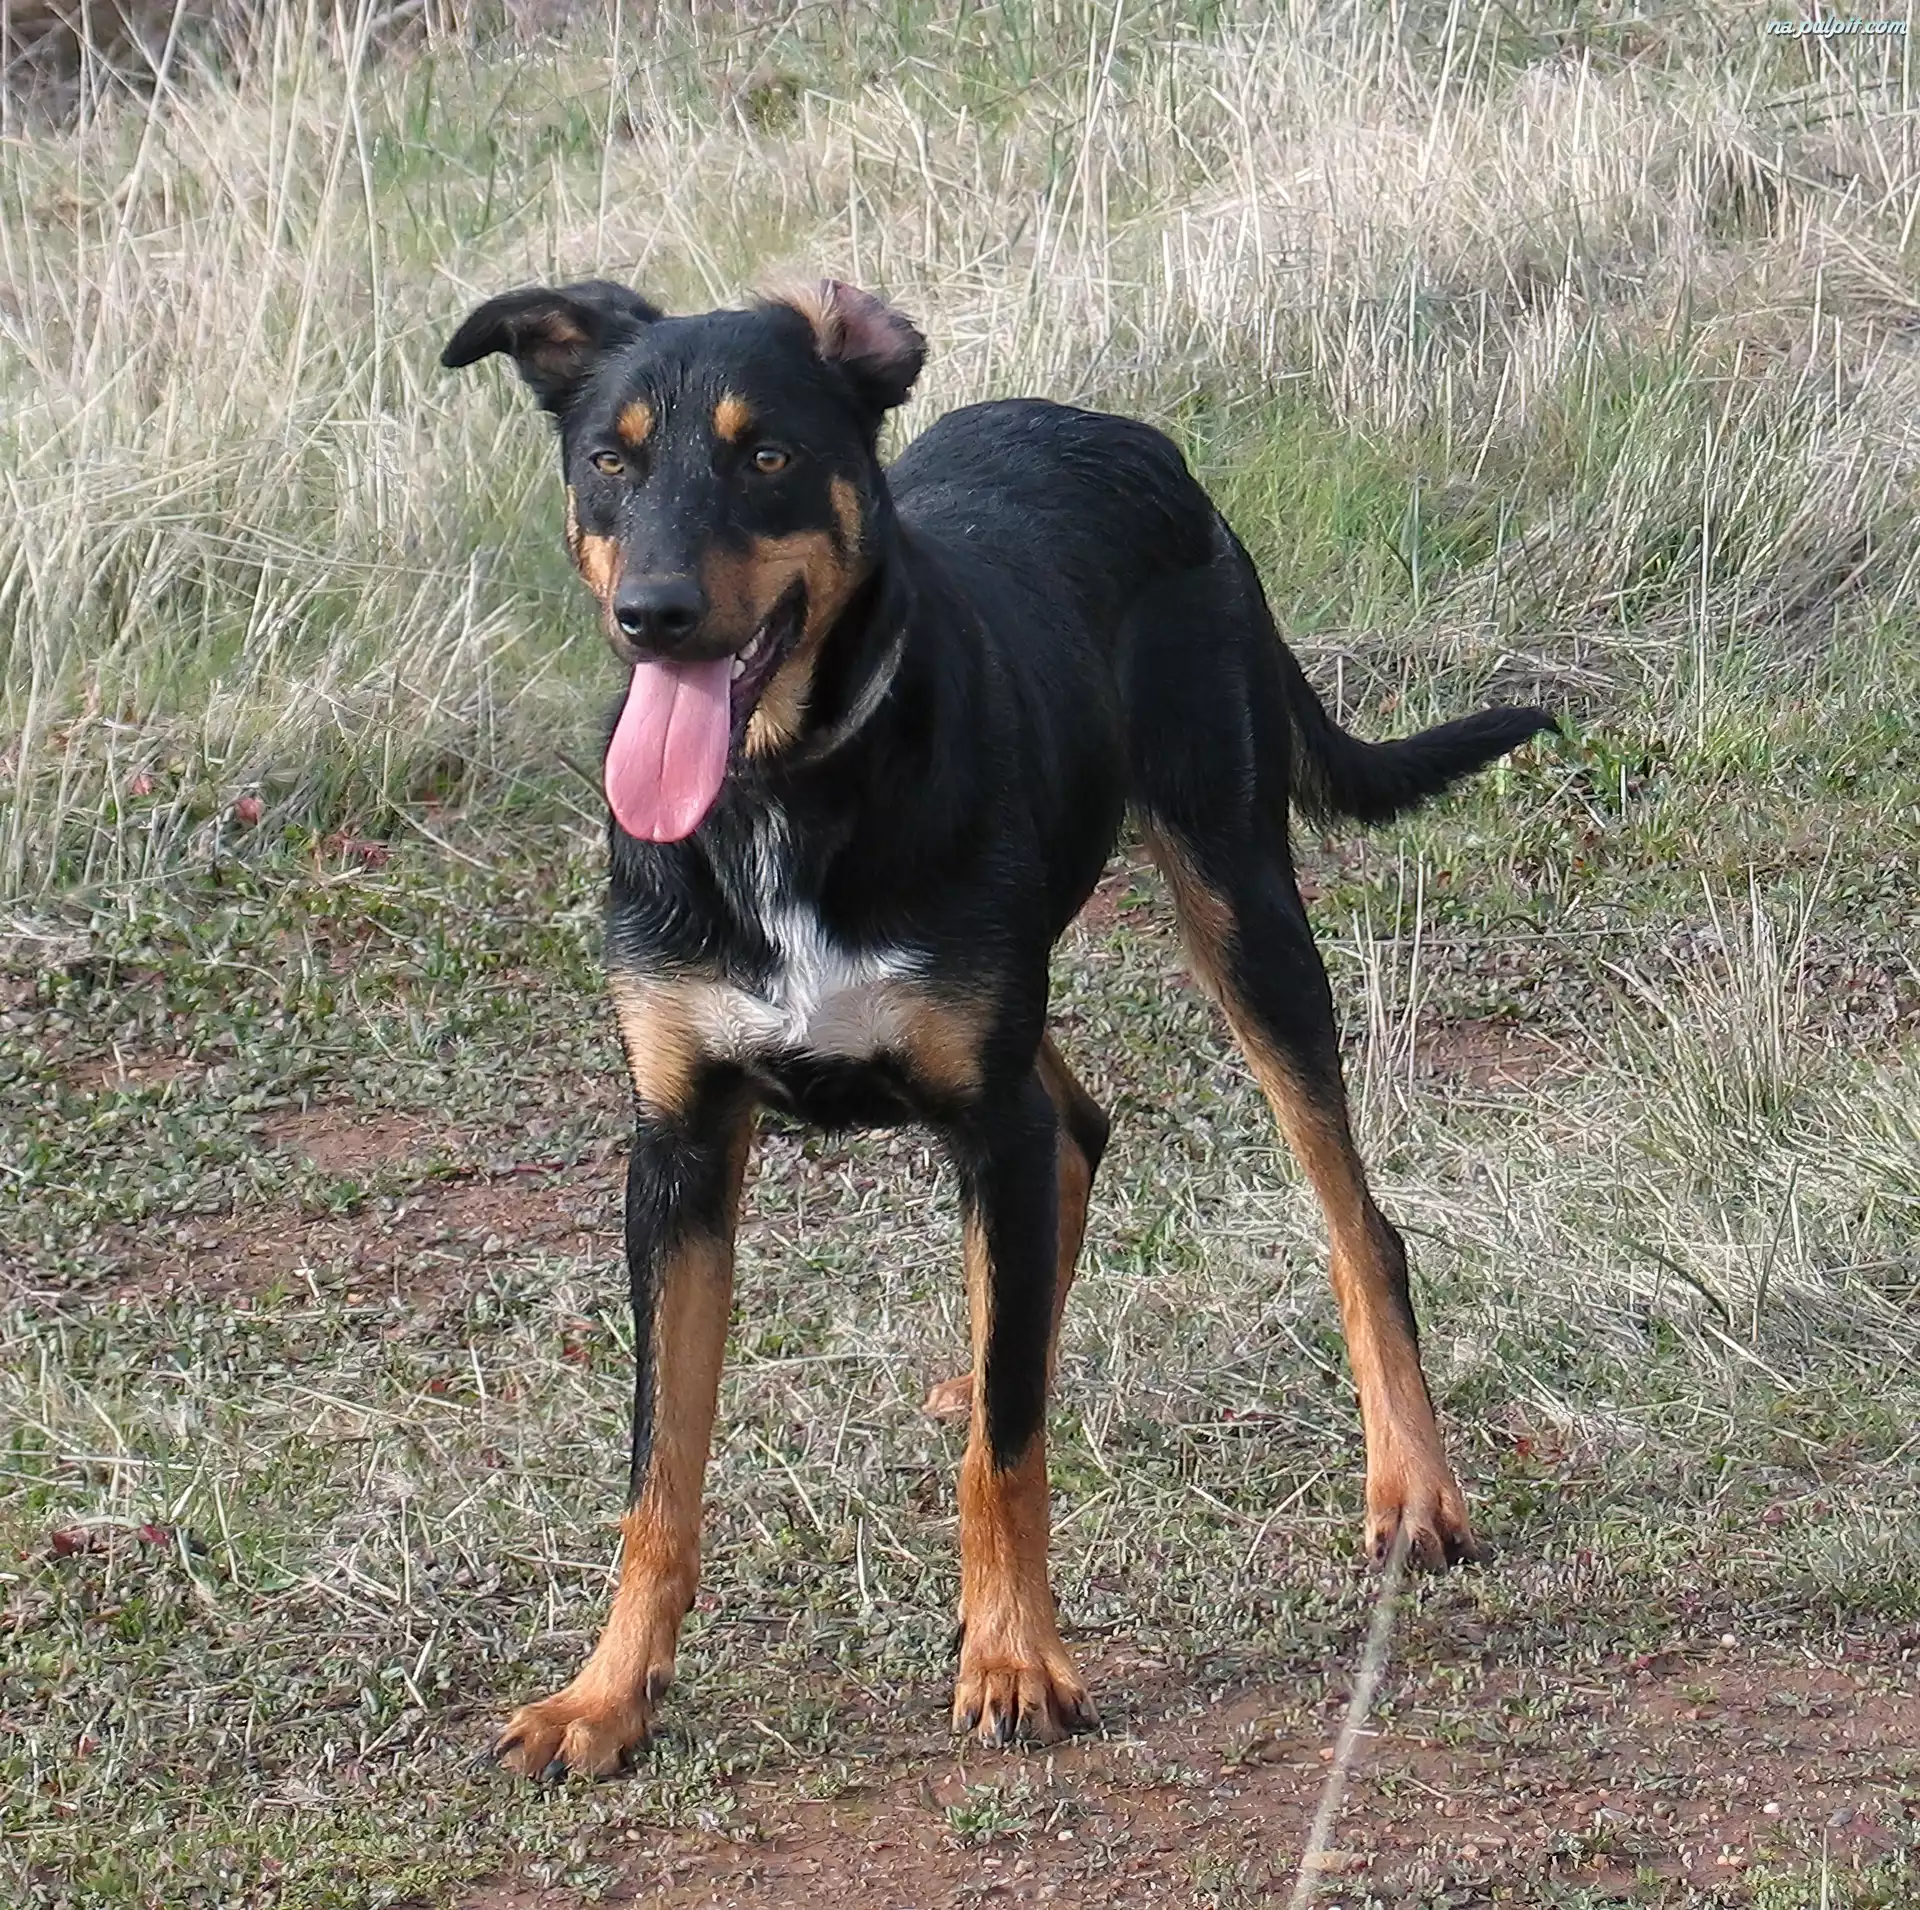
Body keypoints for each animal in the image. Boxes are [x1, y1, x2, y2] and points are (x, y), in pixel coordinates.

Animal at [441, 277, 1555, 1777]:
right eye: (610, 460)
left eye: (767, 452)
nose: (652, 616)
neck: (786, 788)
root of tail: (1132, 436)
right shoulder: (678, 1149)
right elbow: (657, 1468)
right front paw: (608, 1691)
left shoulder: (984, 1117)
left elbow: (1011, 1445)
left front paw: (1016, 1654)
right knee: (1080, 1136)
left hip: (1240, 912)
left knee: (1352, 1222)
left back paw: (1415, 1486)